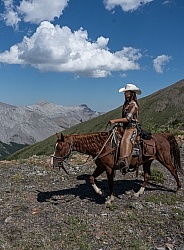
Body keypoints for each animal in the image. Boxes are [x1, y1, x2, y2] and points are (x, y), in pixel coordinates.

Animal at [50, 127, 183, 205]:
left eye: (59, 147)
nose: (53, 163)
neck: (102, 145)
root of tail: (164, 136)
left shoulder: (109, 169)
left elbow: (110, 183)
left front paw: (110, 198)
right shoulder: (101, 167)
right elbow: (92, 178)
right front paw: (100, 192)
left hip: (165, 159)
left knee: (173, 170)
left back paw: (178, 188)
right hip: (147, 162)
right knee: (147, 176)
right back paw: (137, 193)